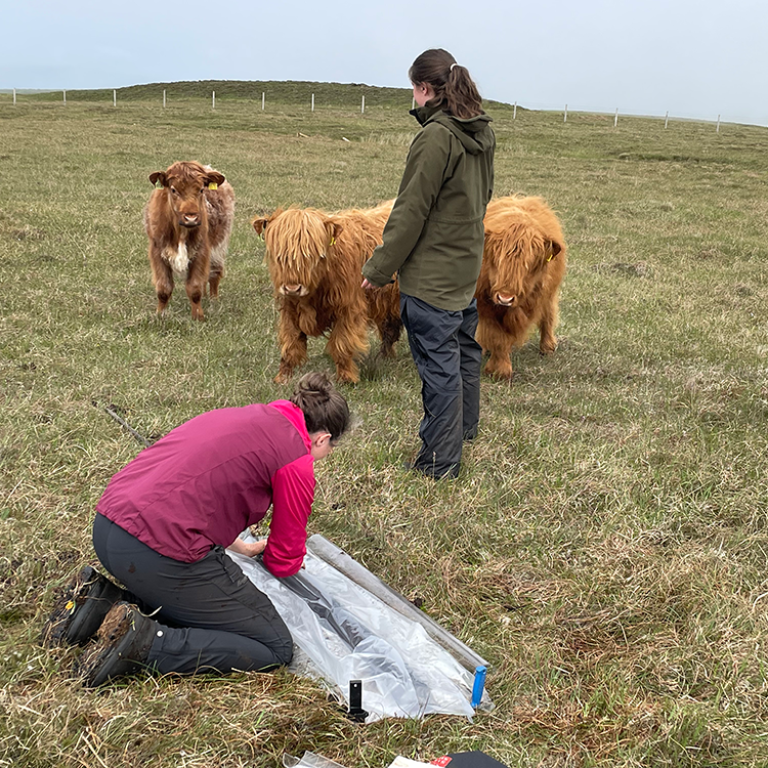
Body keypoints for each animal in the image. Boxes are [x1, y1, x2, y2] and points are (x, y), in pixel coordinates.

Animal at [144, 160, 234, 320]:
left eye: (201, 189)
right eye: (173, 190)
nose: (191, 218)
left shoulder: (202, 250)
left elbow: (195, 287)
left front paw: (198, 316)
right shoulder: (157, 251)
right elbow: (163, 288)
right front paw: (160, 314)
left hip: (219, 246)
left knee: (214, 274)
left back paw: (213, 300)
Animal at [255, 201, 404, 384]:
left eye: (312, 255)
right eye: (278, 256)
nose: (293, 288)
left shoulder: (349, 309)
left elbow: (342, 343)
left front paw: (346, 378)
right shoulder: (289, 309)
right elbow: (291, 344)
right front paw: (283, 377)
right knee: (389, 329)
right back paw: (385, 357)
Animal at [476, 196, 568, 380]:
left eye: (528, 265)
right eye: (497, 260)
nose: (505, 298)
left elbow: (504, 338)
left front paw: (500, 370)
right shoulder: (484, 305)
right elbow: (495, 335)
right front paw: (497, 369)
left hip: (549, 295)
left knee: (548, 315)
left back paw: (547, 347)